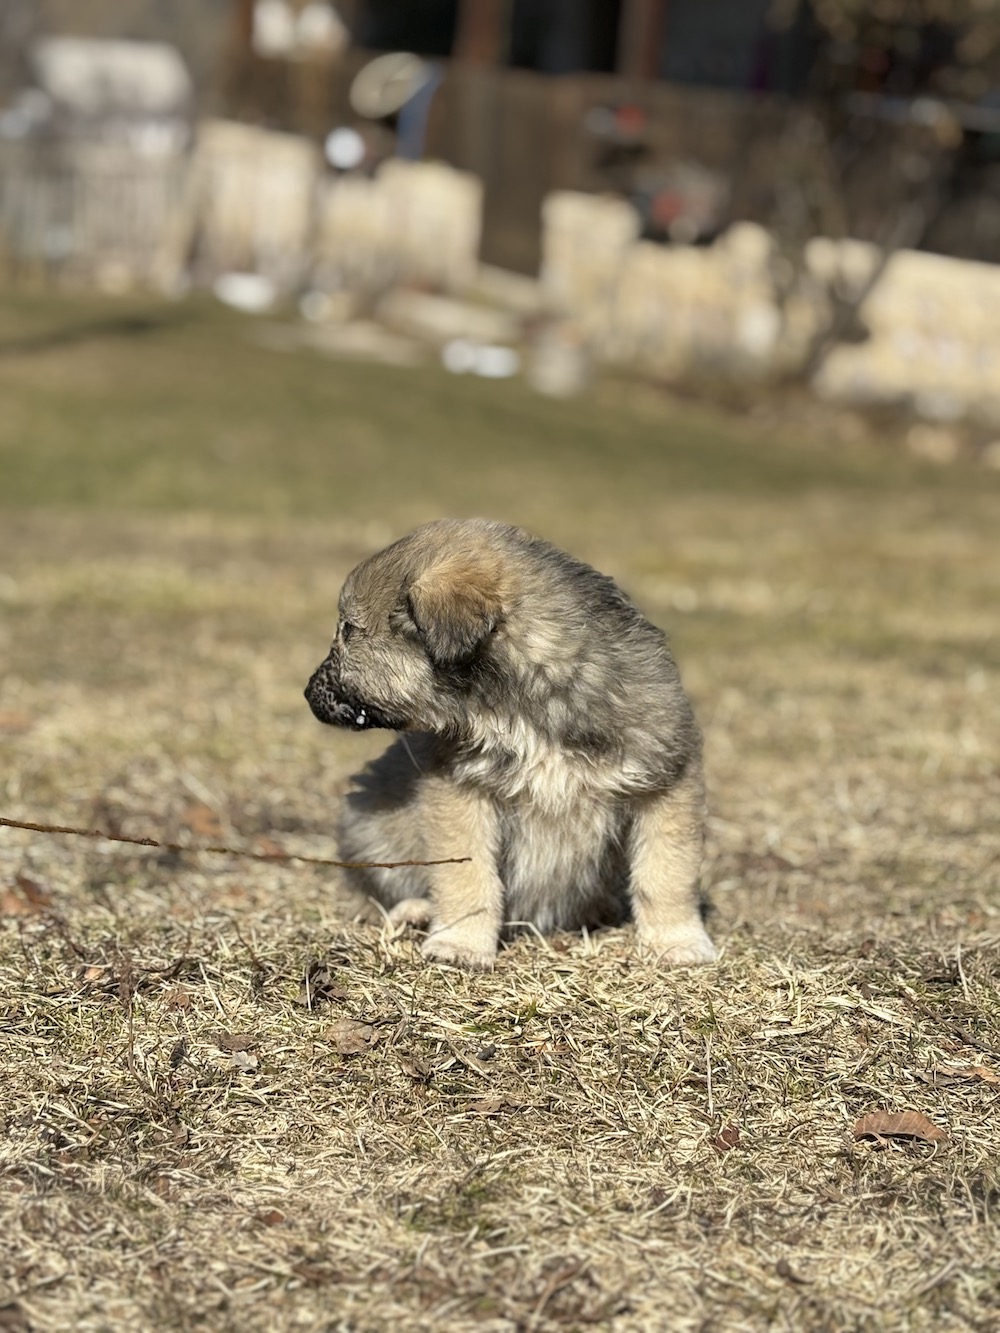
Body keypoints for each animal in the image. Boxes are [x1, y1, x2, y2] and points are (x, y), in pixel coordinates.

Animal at [305, 519, 715, 970]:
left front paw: (676, 940)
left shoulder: (667, 779)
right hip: (369, 818)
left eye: (348, 630)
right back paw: (415, 911)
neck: (521, 706)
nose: (306, 694)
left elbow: (666, 874)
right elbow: (468, 877)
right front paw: (461, 944)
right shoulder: (460, 790)